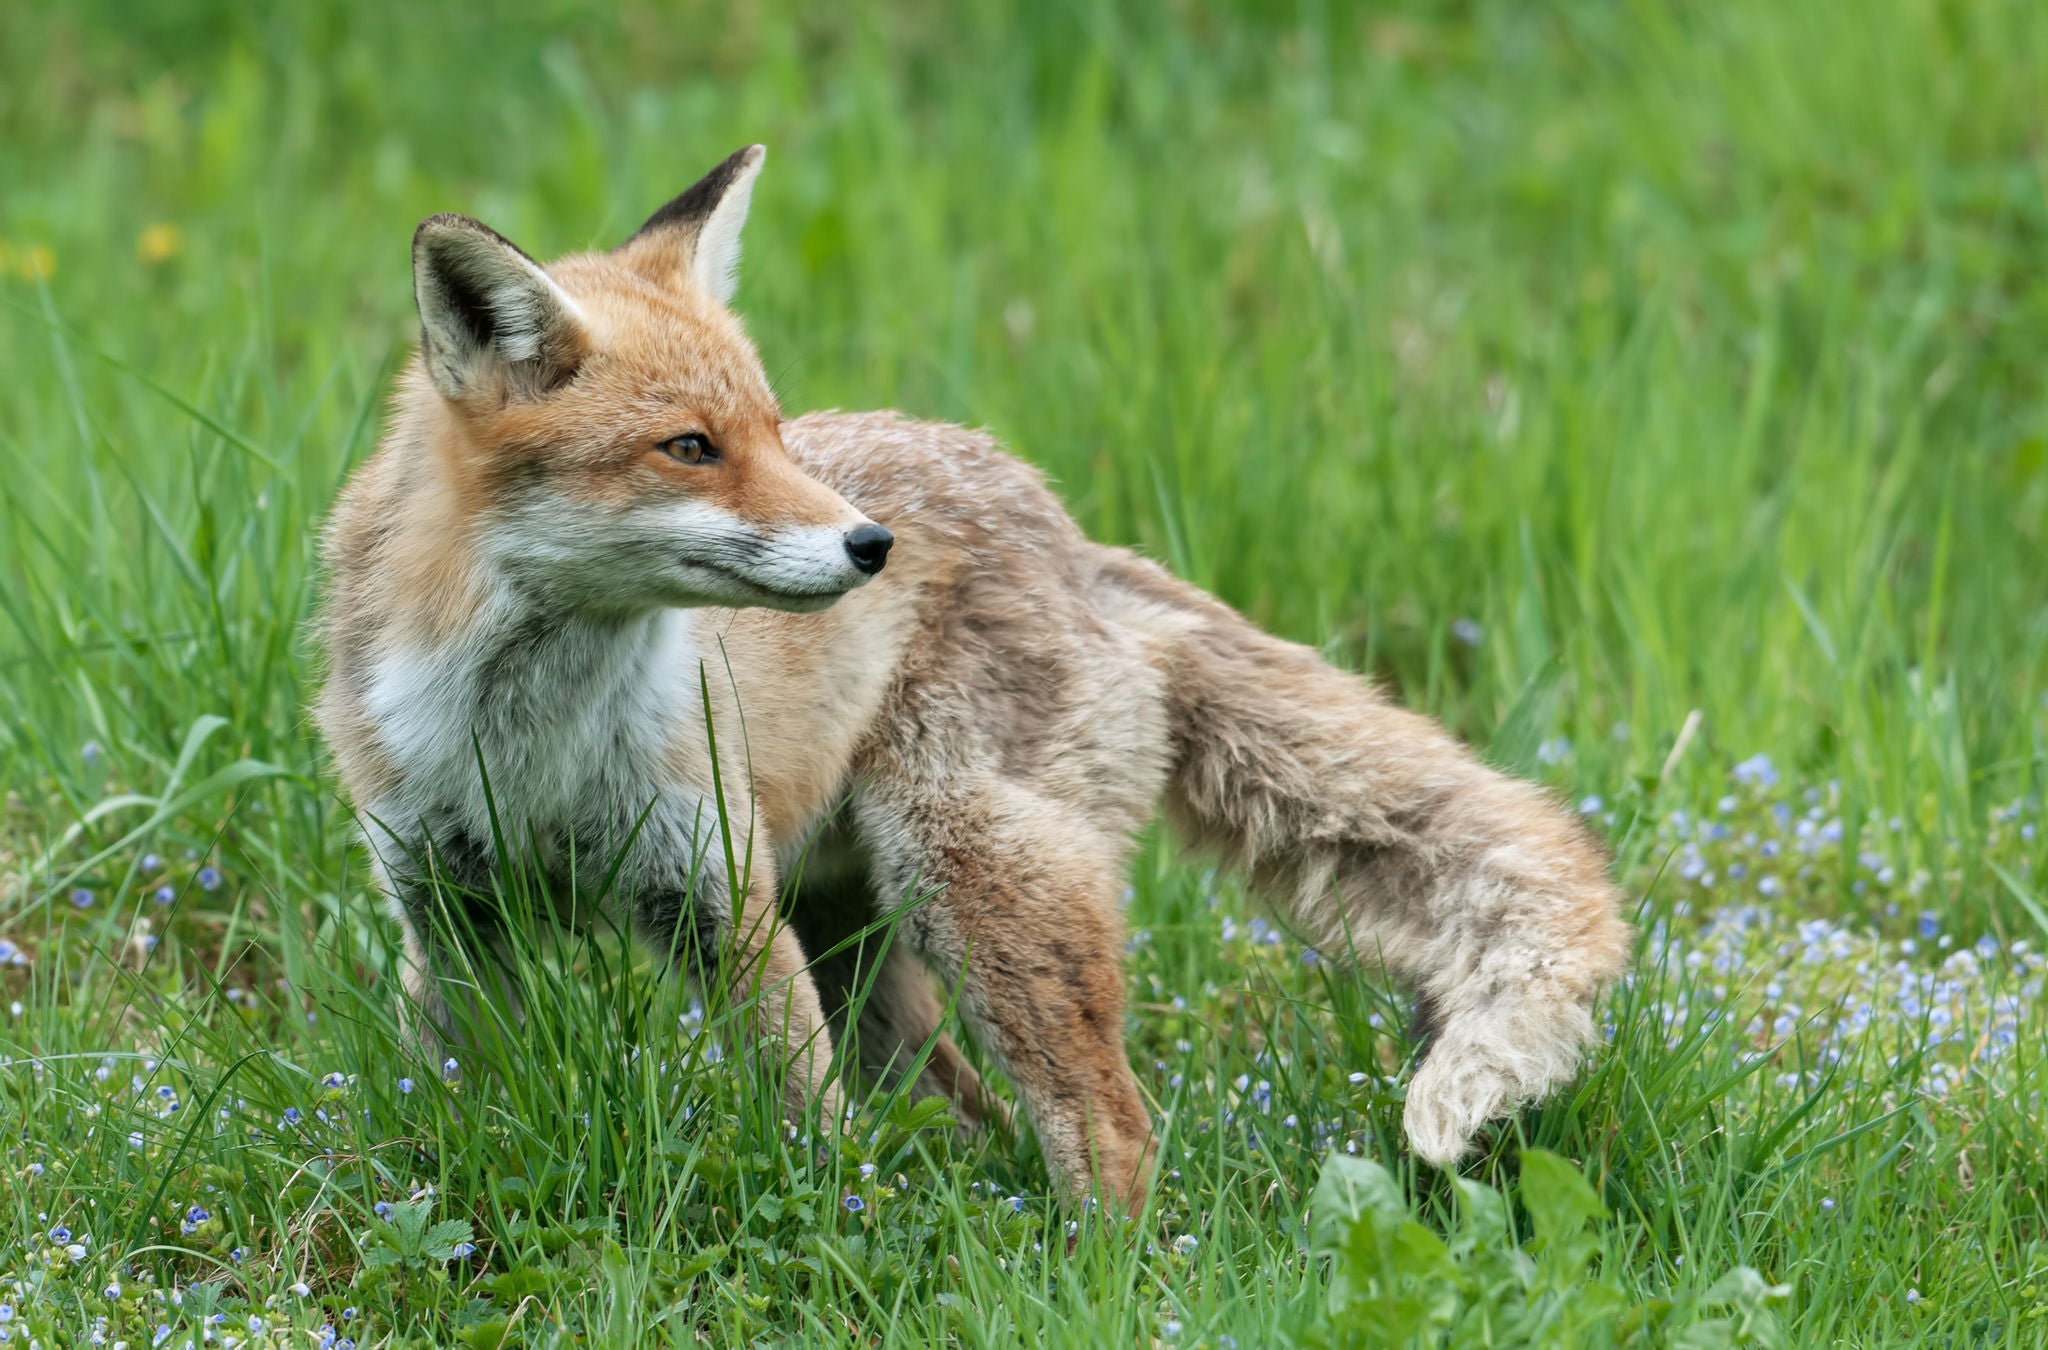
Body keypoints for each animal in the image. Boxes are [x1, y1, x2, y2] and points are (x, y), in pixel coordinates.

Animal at [315, 142, 1630, 1212]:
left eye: (775, 430)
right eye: (690, 447)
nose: (870, 546)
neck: (527, 745)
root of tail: (1062, 526)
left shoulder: (714, 897)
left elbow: (806, 1123)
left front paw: (825, 1233)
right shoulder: (448, 907)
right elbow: (459, 1102)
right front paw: (442, 1193)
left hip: (974, 891)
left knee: (1109, 1132)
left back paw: (1102, 1283)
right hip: (861, 944)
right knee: (967, 1110)